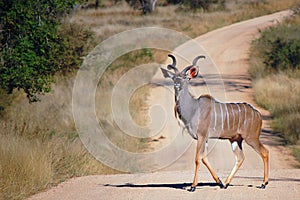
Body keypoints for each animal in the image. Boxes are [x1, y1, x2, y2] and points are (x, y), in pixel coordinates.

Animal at [162, 54, 270, 191]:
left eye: (185, 78)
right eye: (174, 78)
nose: (177, 84)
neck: (193, 108)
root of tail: (258, 114)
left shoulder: (201, 136)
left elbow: (197, 158)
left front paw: (193, 186)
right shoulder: (205, 138)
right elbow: (204, 158)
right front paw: (220, 182)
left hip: (251, 138)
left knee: (265, 152)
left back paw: (263, 183)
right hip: (235, 140)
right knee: (240, 158)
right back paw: (227, 183)